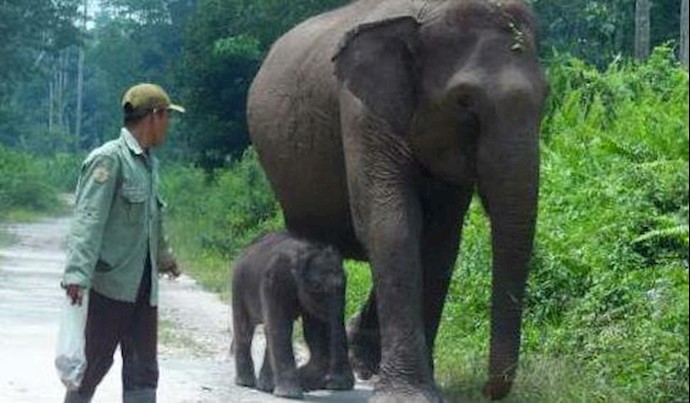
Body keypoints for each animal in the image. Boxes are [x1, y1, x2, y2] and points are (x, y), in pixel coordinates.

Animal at [231, 230, 354, 399]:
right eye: (316, 286)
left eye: (345, 282)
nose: (334, 384)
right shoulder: (274, 281)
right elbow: (281, 327)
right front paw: (290, 394)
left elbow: (314, 331)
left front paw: (303, 382)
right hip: (238, 286)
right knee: (245, 330)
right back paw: (246, 383)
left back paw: (266, 386)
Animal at [247, 0, 548, 401]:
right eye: (464, 101)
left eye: (546, 97)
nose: (486, 389)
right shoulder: (364, 107)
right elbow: (391, 224)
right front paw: (409, 394)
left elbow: (439, 241)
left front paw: (427, 387)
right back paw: (330, 376)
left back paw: (361, 362)